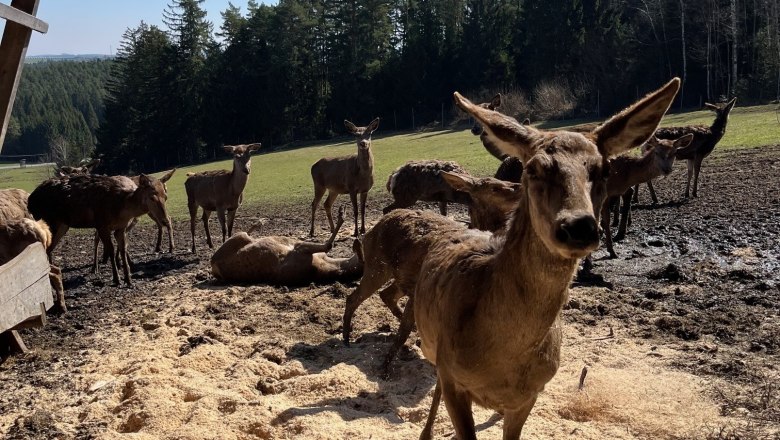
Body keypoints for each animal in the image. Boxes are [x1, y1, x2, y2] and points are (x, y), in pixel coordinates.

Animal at [28, 173, 171, 286]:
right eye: (152, 197)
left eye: (165, 196)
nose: (165, 220)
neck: (123, 208)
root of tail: (30, 201)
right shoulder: (101, 225)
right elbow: (111, 250)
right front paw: (117, 279)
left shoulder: (121, 228)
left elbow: (123, 249)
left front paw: (129, 280)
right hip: (50, 222)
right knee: (46, 249)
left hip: (63, 225)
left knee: (49, 249)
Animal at [211, 206, 363, 285]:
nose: (359, 243)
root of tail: (213, 266)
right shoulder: (300, 248)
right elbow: (328, 245)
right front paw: (342, 214)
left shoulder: (301, 250)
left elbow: (328, 245)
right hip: (240, 237)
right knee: (245, 233)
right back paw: (260, 222)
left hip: (238, 238)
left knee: (244, 234)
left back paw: (259, 223)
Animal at [342, 172, 522, 374]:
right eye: (494, 187)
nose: (520, 186)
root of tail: (369, 233)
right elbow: (403, 332)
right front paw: (385, 368)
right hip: (376, 266)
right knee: (354, 297)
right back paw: (346, 338)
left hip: (399, 275)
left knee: (386, 294)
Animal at [407, 79, 679, 440]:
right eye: (533, 168)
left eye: (604, 169)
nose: (579, 226)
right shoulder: (452, 375)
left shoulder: (530, 394)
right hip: (431, 347)